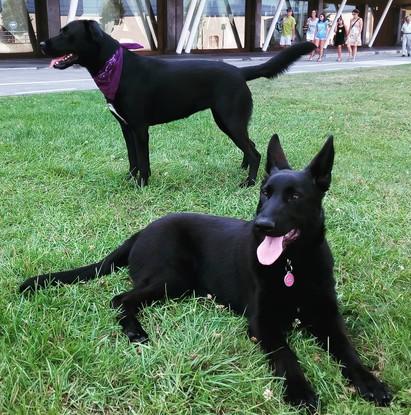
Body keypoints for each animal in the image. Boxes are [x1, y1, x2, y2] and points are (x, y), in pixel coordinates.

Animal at [20, 136, 392, 410]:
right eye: (265, 193)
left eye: (295, 197)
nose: (261, 225)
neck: (293, 265)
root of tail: (141, 232)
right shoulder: (263, 324)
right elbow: (287, 357)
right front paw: (301, 392)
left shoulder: (328, 316)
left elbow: (348, 350)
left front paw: (369, 382)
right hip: (172, 278)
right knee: (119, 298)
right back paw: (135, 330)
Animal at [39, 19, 316, 187]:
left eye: (67, 33)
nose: (41, 43)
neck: (115, 66)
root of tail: (239, 72)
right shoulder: (125, 127)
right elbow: (131, 158)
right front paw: (129, 179)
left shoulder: (140, 128)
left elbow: (143, 160)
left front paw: (142, 184)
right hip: (227, 121)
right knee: (251, 146)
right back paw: (243, 168)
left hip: (230, 120)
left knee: (255, 151)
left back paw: (248, 182)